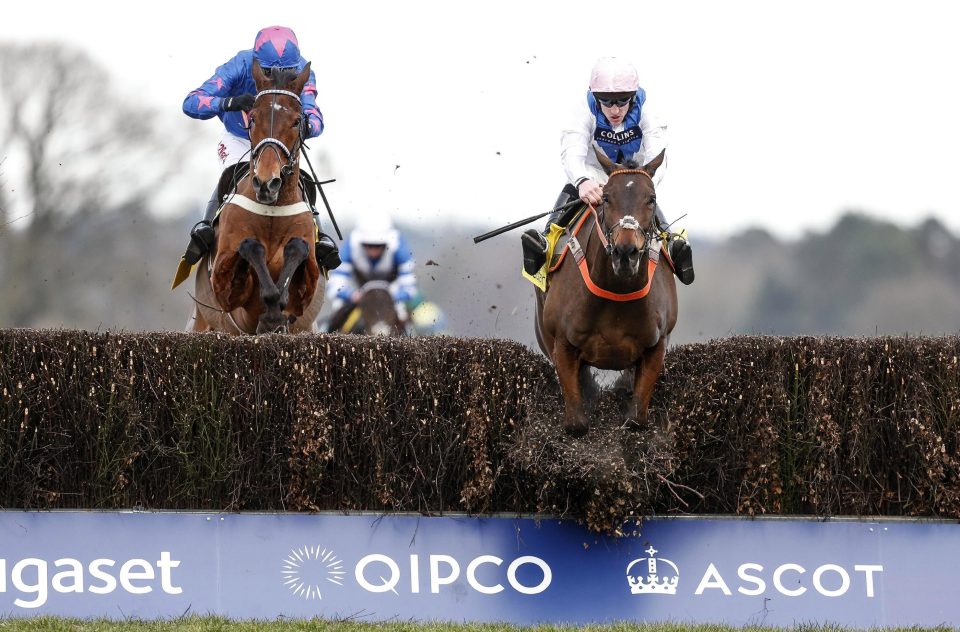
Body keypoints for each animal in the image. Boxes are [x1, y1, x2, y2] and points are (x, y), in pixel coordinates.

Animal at [189, 61, 324, 334]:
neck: (271, 208)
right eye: (252, 118)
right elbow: (249, 245)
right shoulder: (224, 287)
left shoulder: (308, 286)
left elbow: (299, 247)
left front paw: (276, 312)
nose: (266, 182)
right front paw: (271, 314)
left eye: (297, 122)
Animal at [536, 147, 680, 434]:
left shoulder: (656, 346)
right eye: (605, 198)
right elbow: (577, 423)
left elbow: (635, 419)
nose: (626, 253)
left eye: (651, 199)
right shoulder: (563, 346)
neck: (617, 292)